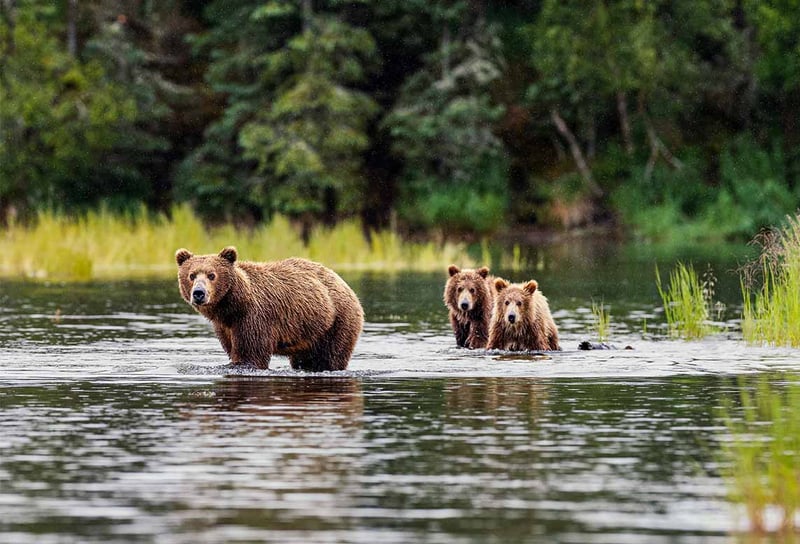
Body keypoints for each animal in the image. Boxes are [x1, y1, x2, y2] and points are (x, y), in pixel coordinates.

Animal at [175, 246, 363, 372]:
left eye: (212, 275)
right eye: (191, 275)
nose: (199, 293)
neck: (232, 307)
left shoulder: (255, 317)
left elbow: (250, 355)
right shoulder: (225, 327)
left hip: (337, 321)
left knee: (331, 356)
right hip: (309, 333)